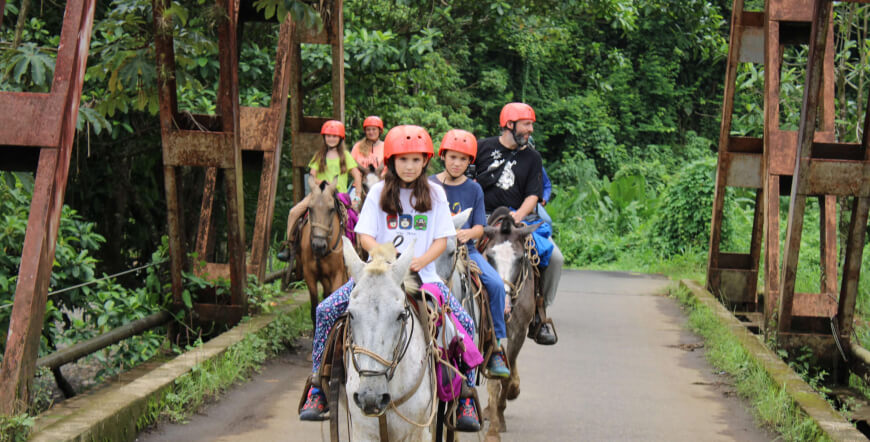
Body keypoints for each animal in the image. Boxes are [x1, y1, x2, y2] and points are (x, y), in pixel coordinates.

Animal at [480, 206, 540, 438]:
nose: (504, 308)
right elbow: (494, 379)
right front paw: (494, 427)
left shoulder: (519, 332)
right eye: (489, 256)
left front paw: (502, 412)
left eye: (520, 258)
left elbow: (506, 374)